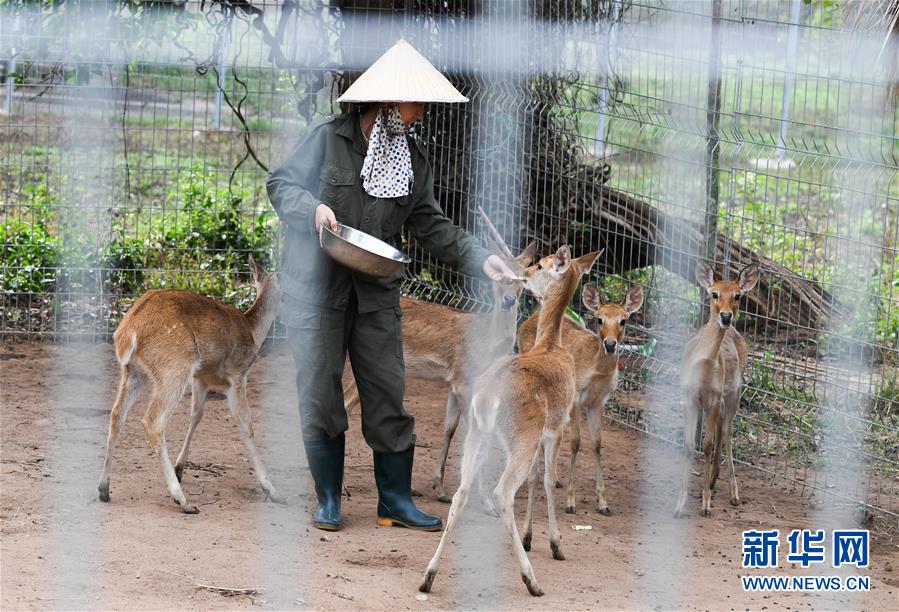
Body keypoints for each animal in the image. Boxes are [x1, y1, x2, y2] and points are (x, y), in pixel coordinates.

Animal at [97, 255, 284, 514]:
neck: (254, 332)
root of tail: (127, 332)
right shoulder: (237, 374)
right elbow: (246, 425)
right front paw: (272, 490)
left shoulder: (201, 378)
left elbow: (196, 415)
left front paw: (180, 468)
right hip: (174, 367)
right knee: (152, 421)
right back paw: (183, 500)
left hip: (134, 372)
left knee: (116, 415)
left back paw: (104, 489)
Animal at [343, 209, 537, 502]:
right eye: (497, 278)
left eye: (523, 280)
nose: (508, 301)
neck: (487, 340)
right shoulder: (463, 379)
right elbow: (475, 433)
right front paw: (477, 493)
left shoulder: (454, 382)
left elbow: (449, 428)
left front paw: (441, 488)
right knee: (344, 404)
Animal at [420, 246, 602, 598]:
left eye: (541, 265)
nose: (525, 275)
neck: (551, 344)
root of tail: (487, 396)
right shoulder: (556, 427)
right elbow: (548, 480)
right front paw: (556, 544)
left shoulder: (542, 435)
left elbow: (535, 478)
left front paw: (532, 538)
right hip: (521, 437)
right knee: (502, 493)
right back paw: (531, 580)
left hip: (480, 434)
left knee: (461, 492)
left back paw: (428, 576)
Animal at [517, 282, 643, 525]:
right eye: (599, 319)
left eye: (623, 320)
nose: (610, 344)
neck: (596, 370)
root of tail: (531, 317)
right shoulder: (576, 397)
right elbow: (576, 442)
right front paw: (570, 501)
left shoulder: (598, 402)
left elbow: (597, 443)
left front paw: (603, 503)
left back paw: (555, 478)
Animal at [674, 261, 759, 518]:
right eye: (714, 294)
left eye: (738, 296)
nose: (726, 316)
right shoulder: (689, 398)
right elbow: (689, 446)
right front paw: (679, 505)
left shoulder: (712, 399)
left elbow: (707, 447)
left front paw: (705, 504)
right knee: (723, 430)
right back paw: (713, 480)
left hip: (733, 394)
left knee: (728, 432)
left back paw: (733, 493)